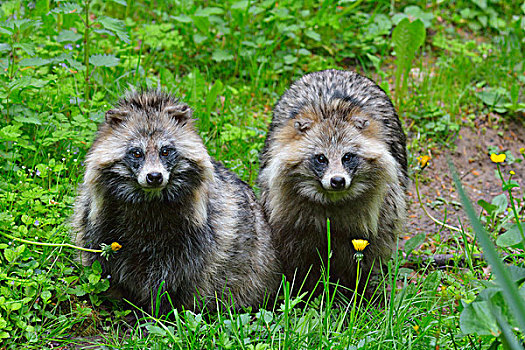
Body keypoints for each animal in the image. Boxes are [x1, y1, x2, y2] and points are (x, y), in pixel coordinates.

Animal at [73, 90, 280, 314]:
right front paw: (121, 302)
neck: (149, 200)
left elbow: (174, 276)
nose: (154, 177)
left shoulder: (192, 236)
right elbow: (103, 265)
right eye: (137, 152)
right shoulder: (100, 224)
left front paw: (159, 310)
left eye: (165, 151)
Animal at [258, 69, 410, 294]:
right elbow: (300, 260)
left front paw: (361, 288)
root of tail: (334, 70)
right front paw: (306, 288)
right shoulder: (289, 220)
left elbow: (367, 256)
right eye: (321, 158)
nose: (337, 180)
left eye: (347, 157)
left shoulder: (378, 217)